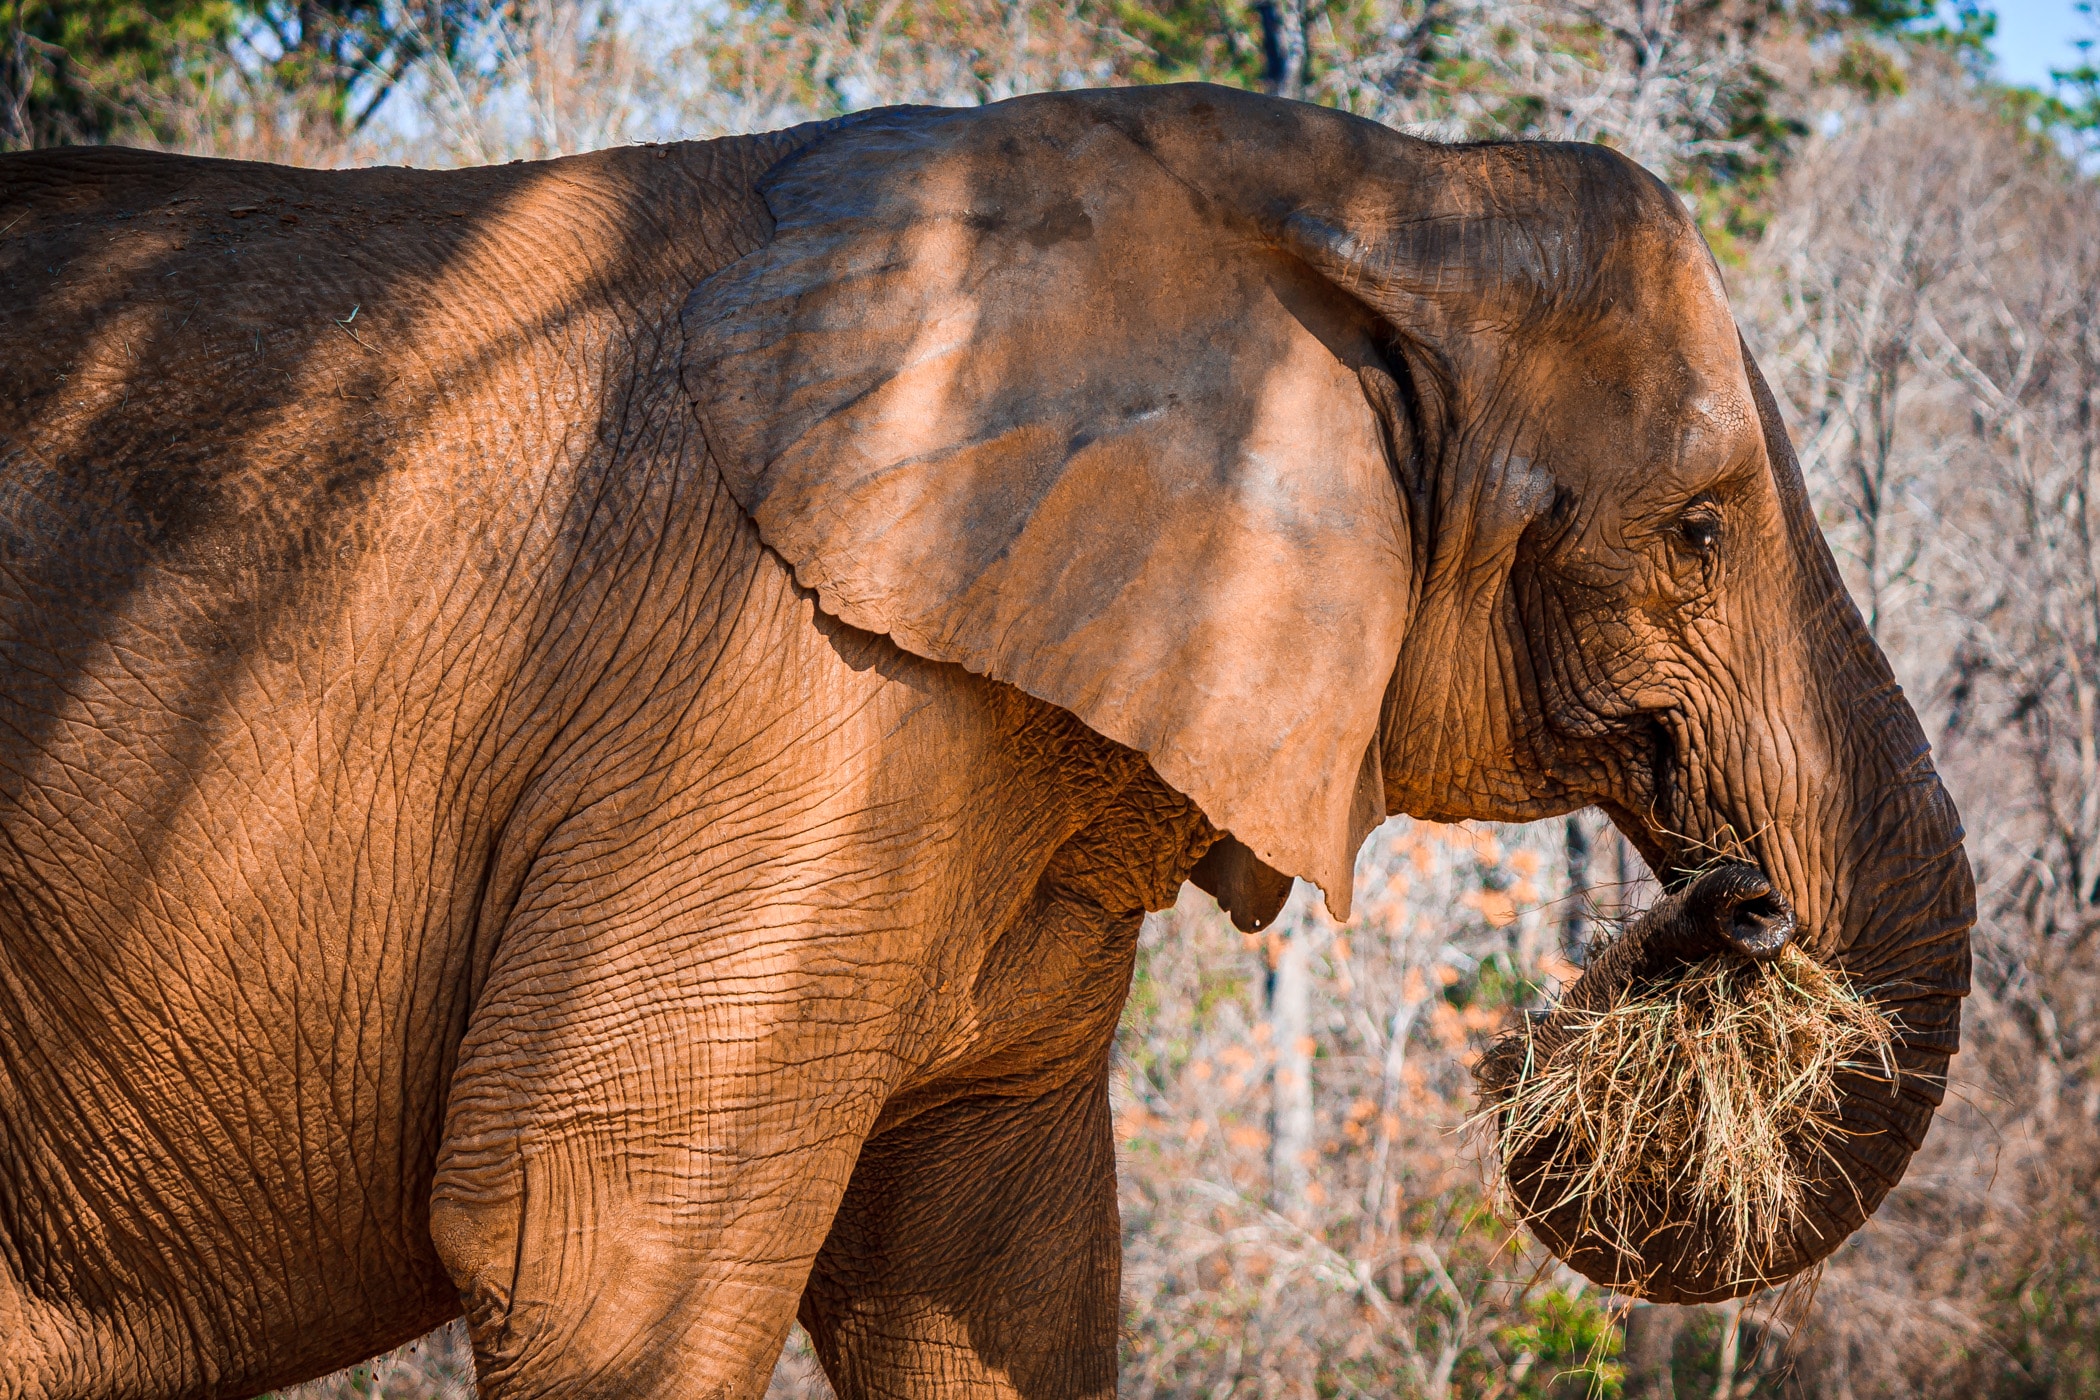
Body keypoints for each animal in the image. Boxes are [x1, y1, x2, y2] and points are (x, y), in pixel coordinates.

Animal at [0, 82, 1965, 1393]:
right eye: (1699, 529)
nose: (1733, 909)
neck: (1372, 184)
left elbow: (994, 1268)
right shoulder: (778, 697)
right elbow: (589, 1243)